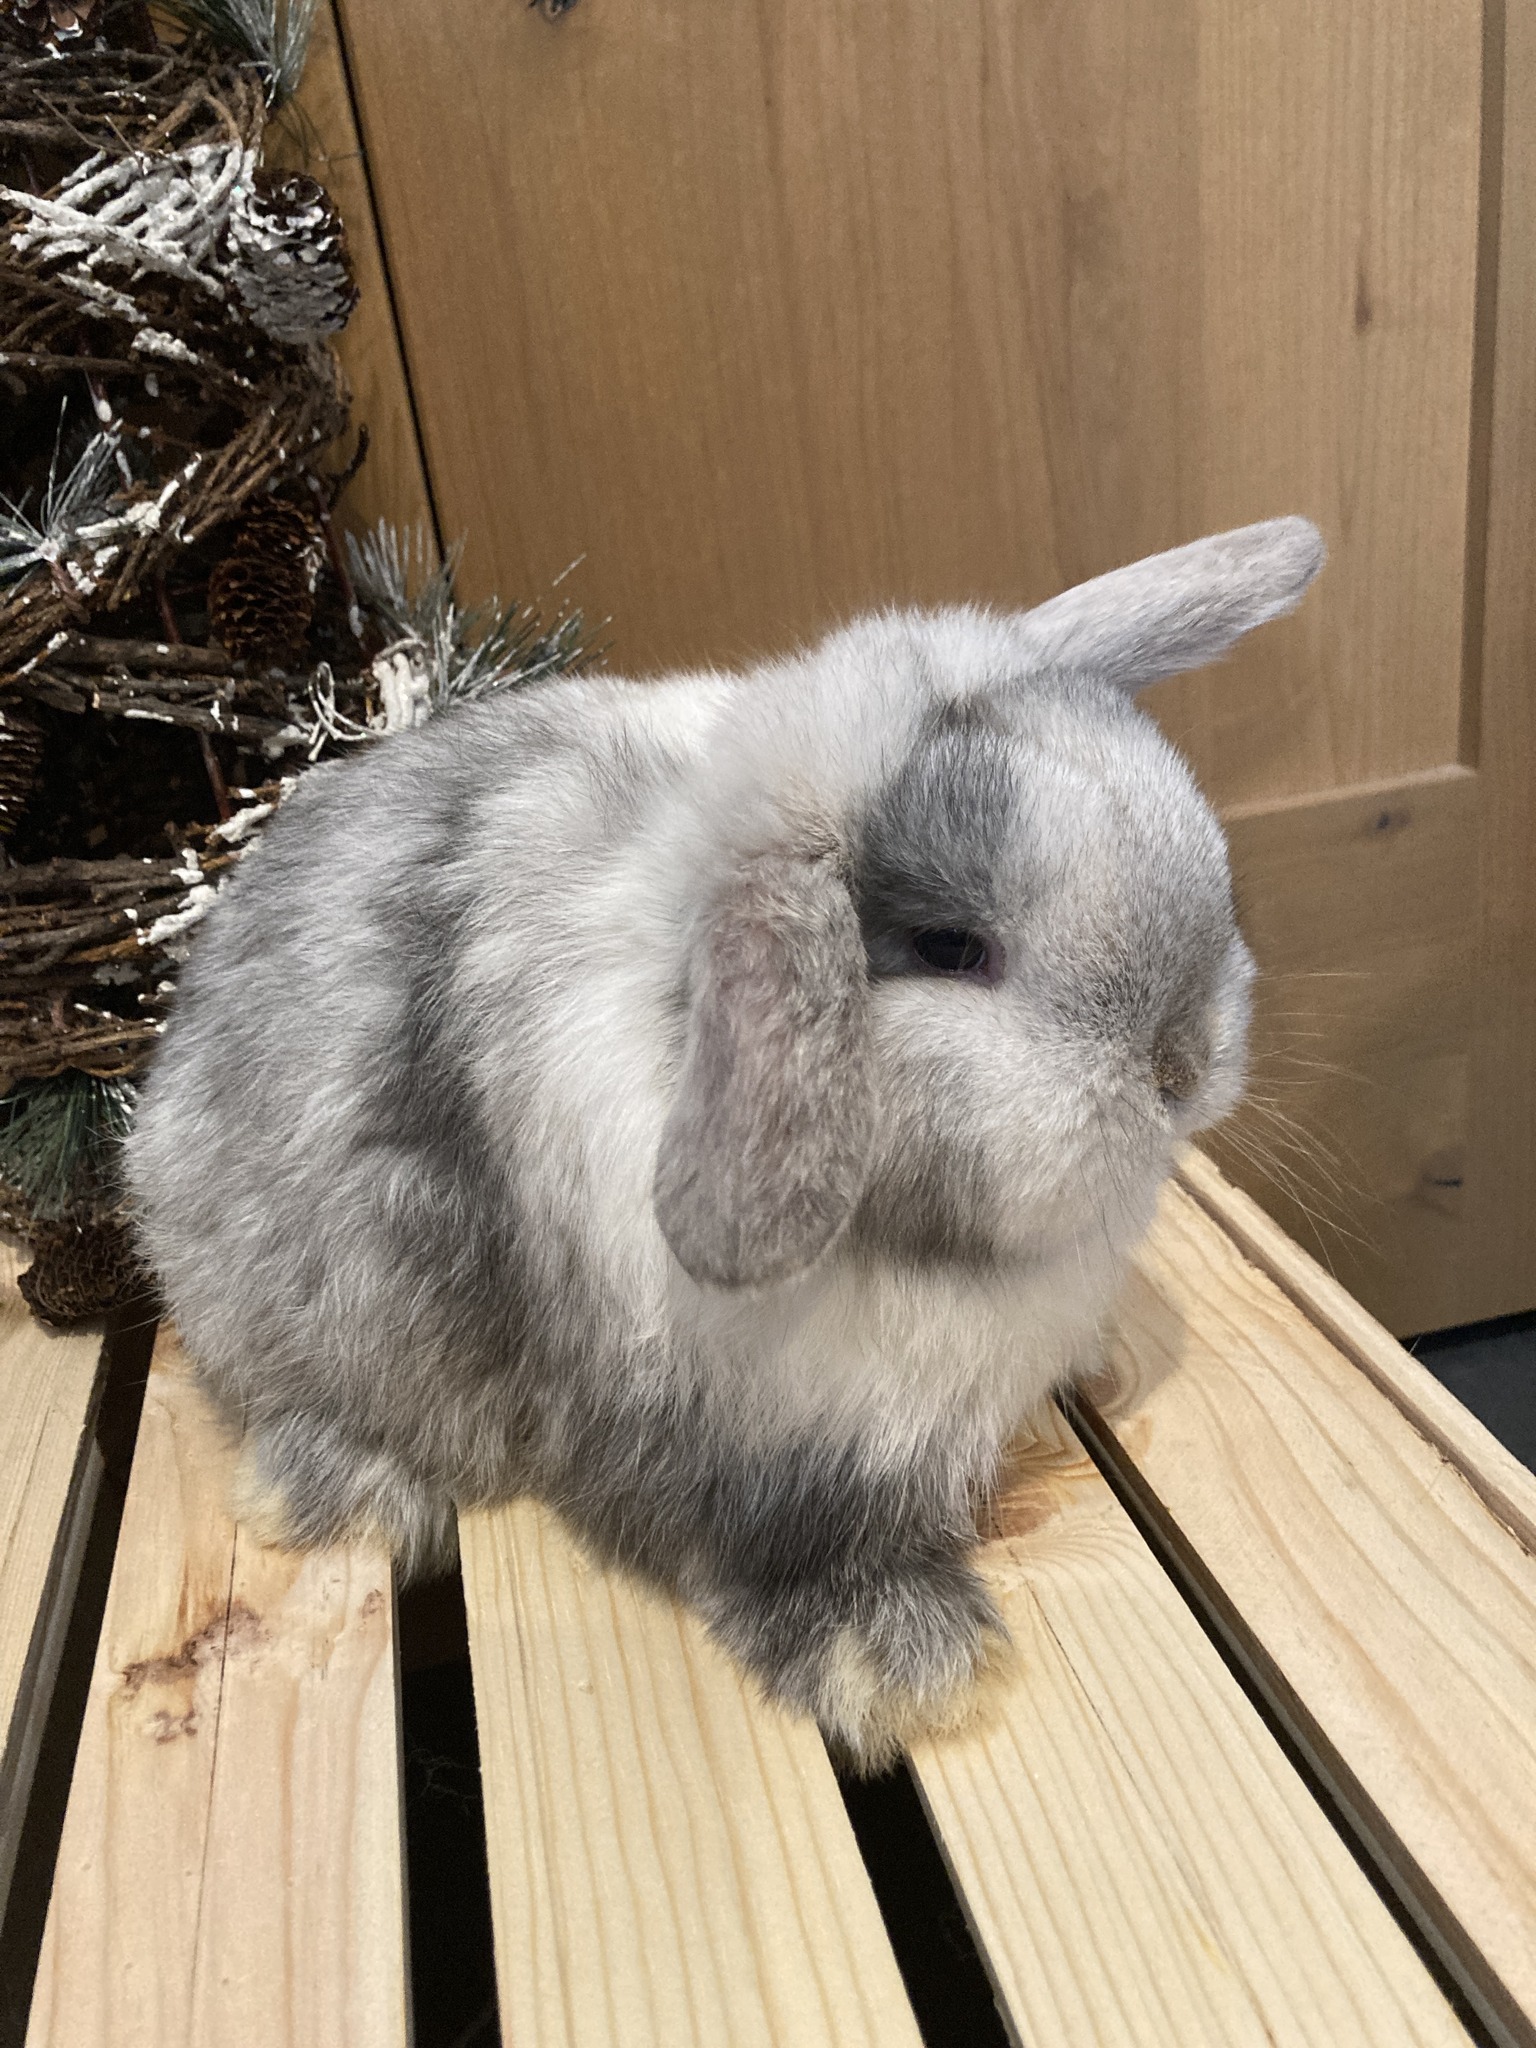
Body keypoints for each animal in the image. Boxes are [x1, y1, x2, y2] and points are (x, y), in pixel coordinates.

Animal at [127, 516, 1324, 1769]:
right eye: (951, 946)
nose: (1184, 1064)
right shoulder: (734, 1443)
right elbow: (773, 1551)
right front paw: (911, 1669)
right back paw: (345, 1488)